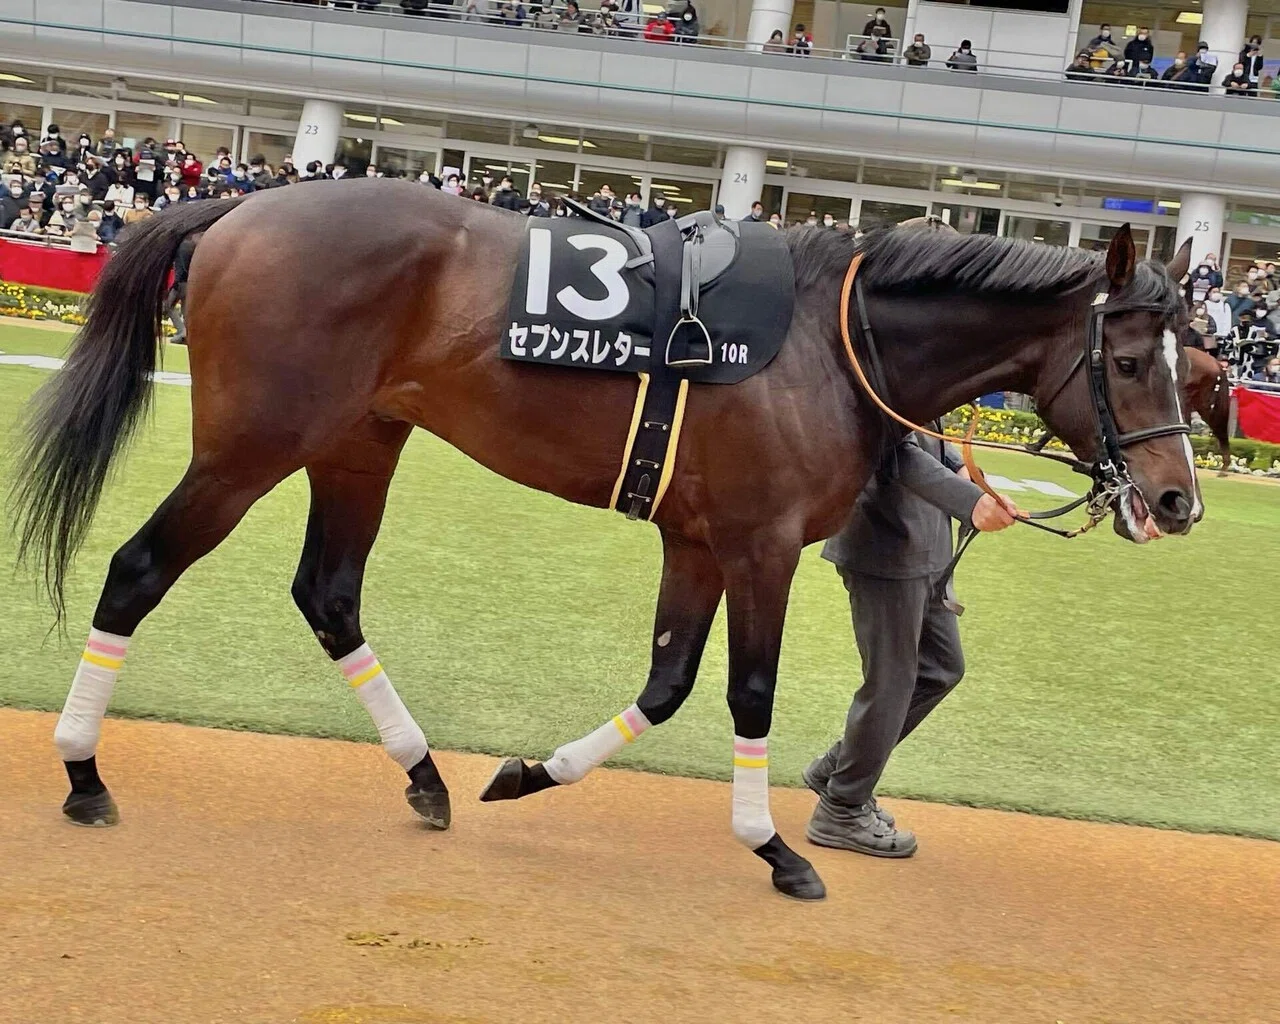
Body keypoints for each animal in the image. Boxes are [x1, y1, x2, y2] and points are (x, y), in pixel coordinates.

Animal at [10, 182, 1199, 901]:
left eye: (1201, 366)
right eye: (1134, 362)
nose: (1178, 500)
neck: (833, 340)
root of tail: (239, 207)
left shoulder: (697, 539)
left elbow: (667, 683)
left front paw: (526, 773)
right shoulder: (760, 543)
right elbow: (748, 694)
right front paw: (775, 847)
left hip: (359, 442)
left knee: (329, 593)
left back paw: (427, 776)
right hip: (252, 447)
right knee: (139, 570)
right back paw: (82, 771)